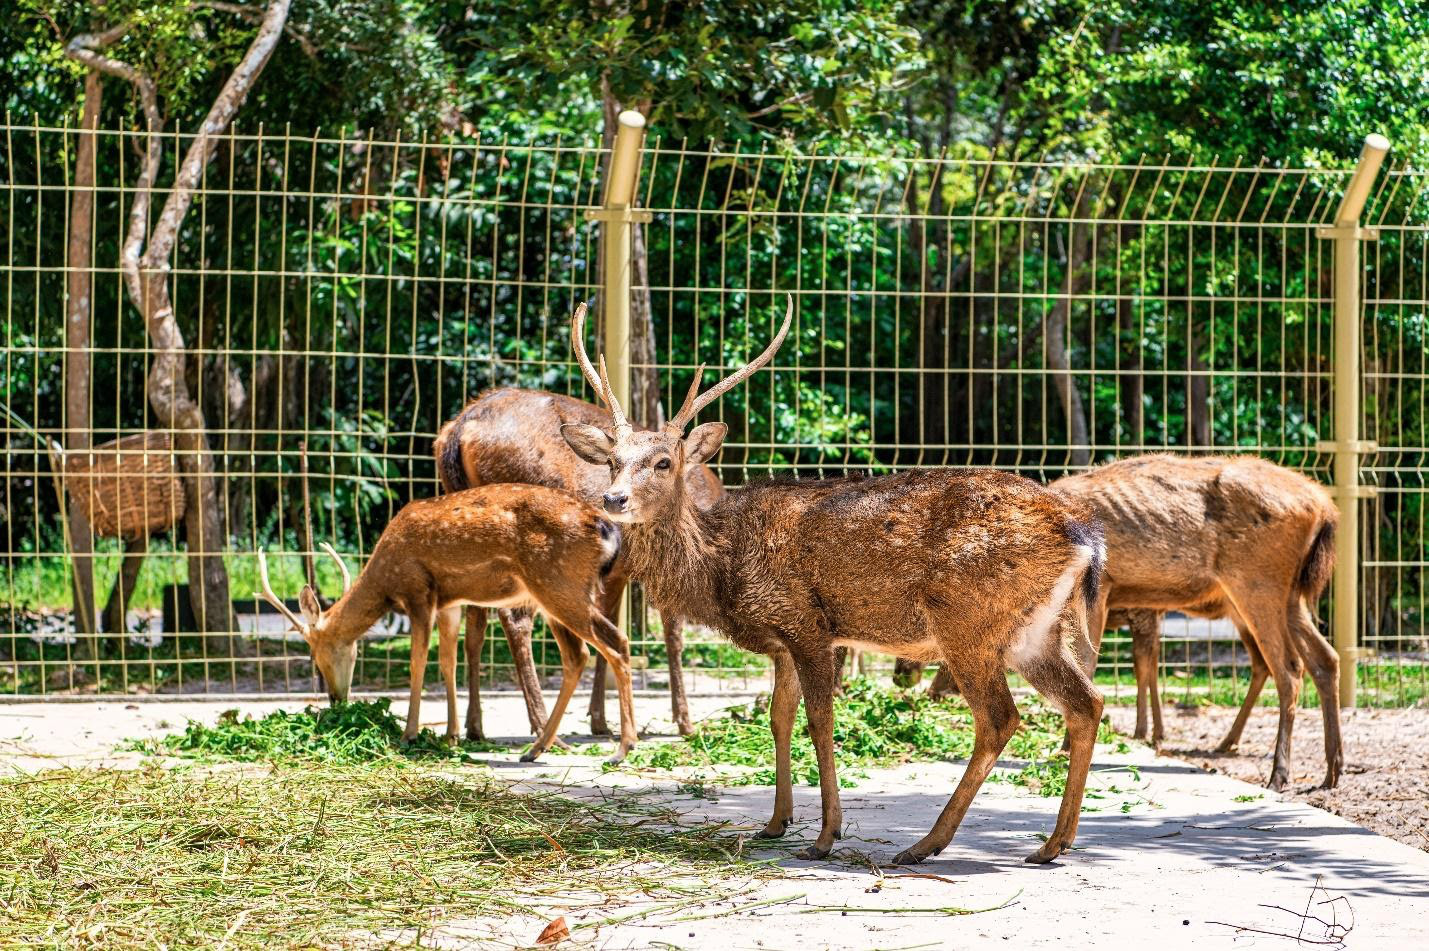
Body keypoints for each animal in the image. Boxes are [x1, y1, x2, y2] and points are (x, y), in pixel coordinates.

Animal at [254, 482, 640, 765]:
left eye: (315, 656)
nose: (336, 700)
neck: (385, 579)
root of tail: (606, 530)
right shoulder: (449, 603)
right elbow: (448, 661)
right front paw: (452, 735)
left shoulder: (418, 592)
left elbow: (418, 661)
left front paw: (409, 733)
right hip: (552, 594)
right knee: (578, 655)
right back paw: (535, 750)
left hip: (559, 584)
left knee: (615, 642)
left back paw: (622, 748)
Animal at [431, 388, 725, 742]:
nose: (612, 499)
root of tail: (459, 428)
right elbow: (674, 635)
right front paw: (685, 722)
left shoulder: (617, 572)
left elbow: (611, 627)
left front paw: (600, 719)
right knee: (515, 620)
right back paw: (543, 726)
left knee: (475, 624)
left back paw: (475, 726)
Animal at [557, 299, 1103, 862]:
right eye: (613, 461)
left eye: (664, 462)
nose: (613, 498)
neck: (724, 566)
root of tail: (1082, 535)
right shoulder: (783, 641)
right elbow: (779, 718)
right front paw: (775, 822)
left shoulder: (807, 625)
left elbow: (820, 721)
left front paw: (825, 835)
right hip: (1036, 632)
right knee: (1087, 704)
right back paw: (1053, 844)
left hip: (968, 622)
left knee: (1000, 718)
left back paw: (926, 843)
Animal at [1051, 451, 1337, 782]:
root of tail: (1324, 507)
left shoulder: (1102, 590)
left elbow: (1087, 663)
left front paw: (1066, 747)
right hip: (1287, 596)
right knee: (1324, 659)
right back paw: (1332, 768)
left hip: (1258, 584)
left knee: (1289, 669)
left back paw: (1279, 772)